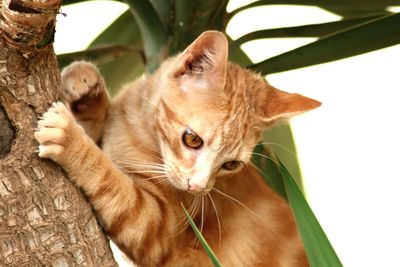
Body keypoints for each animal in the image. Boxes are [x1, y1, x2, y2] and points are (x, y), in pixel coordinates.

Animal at [35, 30, 322, 266]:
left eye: (231, 164)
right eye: (193, 139)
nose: (197, 187)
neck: (137, 131)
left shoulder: (154, 228)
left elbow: (109, 181)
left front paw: (70, 139)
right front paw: (87, 92)